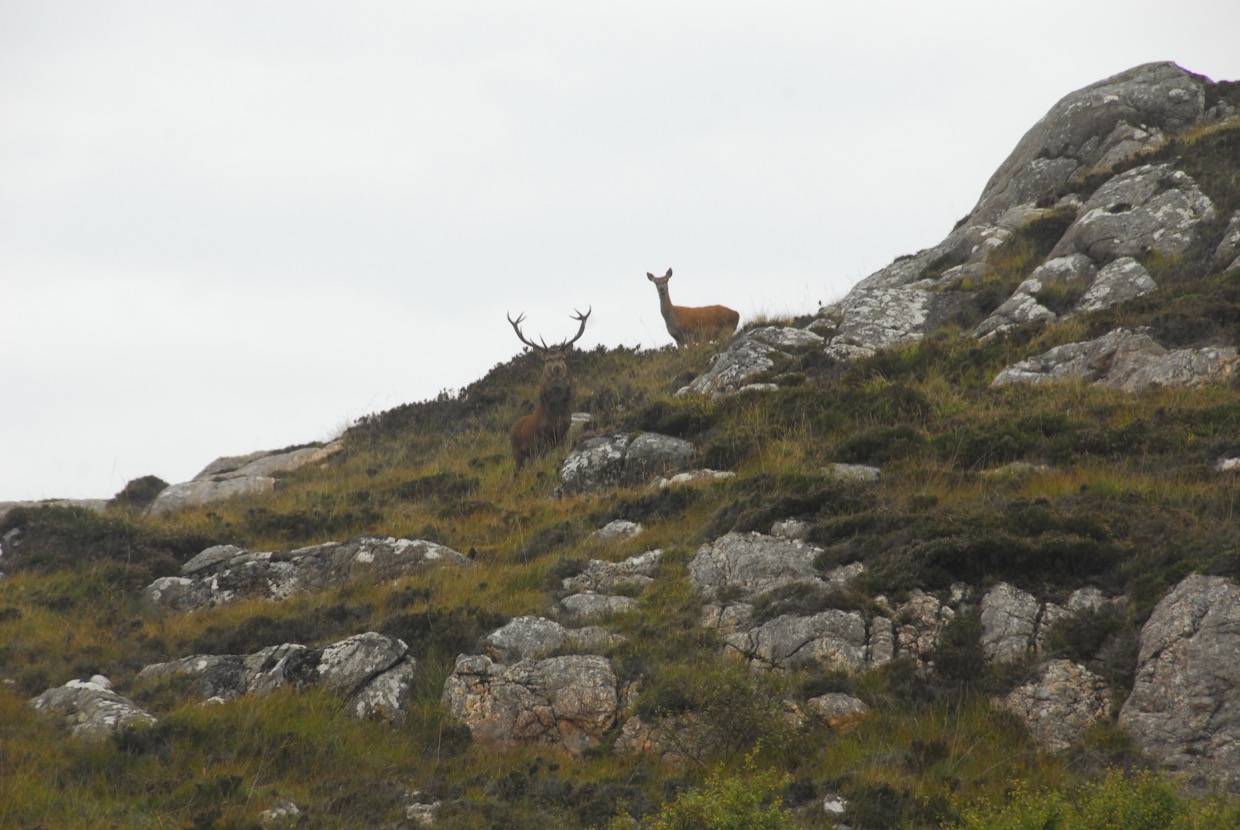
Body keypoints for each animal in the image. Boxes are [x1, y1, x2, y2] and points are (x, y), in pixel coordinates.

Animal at [507, 307, 591, 472]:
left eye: (563, 358)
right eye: (547, 360)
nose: (557, 368)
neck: (556, 414)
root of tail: (511, 429)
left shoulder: (563, 433)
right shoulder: (541, 439)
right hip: (517, 452)